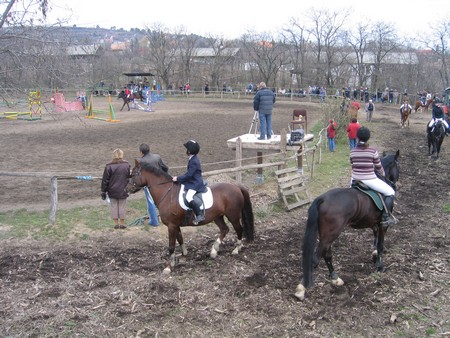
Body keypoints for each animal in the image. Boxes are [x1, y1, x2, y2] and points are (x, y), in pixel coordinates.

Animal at [125, 160, 255, 274]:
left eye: (134, 174)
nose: (127, 190)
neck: (166, 193)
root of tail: (237, 187)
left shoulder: (171, 225)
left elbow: (171, 246)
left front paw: (168, 267)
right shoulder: (175, 225)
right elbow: (180, 239)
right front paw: (182, 256)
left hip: (233, 216)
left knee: (239, 230)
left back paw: (236, 249)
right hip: (217, 217)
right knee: (224, 229)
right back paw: (214, 250)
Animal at [296, 152, 400, 300]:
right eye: (398, 165)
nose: (395, 183)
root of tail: (322, 199)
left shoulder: (374, 224)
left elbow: (375, 241)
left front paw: (374, 256)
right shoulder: (383, 225)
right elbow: (380, 244)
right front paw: (380, 266)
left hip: (327, 235)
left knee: (327, 255)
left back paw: (335, 278)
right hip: (331, 234)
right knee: (315, 258)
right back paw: (302, 288)